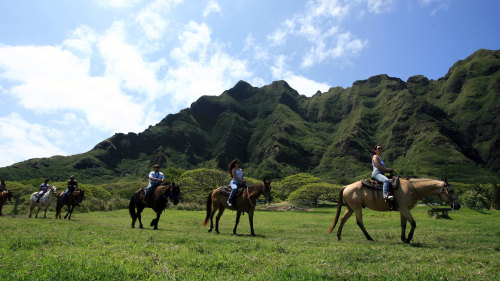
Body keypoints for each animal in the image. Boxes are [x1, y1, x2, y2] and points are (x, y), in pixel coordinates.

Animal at [328, 178, 460, 242]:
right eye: (451, 190)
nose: (458, 206)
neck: (412, 188)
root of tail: (347, 186)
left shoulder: (402, 209)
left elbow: (404, 224)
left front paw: (403, 238)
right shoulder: (404, 208)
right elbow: (413, 223)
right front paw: (408, 238)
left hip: (350, 208)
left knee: (342, 219)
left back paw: (339, 236)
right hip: (356, 208)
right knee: (359, 222)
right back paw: (369, 238)